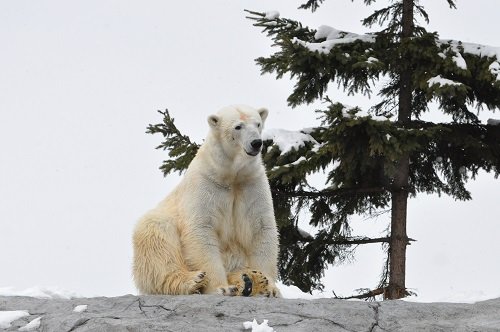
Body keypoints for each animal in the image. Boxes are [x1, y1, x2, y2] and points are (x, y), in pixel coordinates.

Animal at [133, 105, 282, 296]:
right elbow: (201, 228)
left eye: (258, 124)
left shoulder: (251, 184)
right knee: (156, 238)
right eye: (238, 126)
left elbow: (261, 228)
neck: (230, 175)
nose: (256, 142)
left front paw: (269, 287)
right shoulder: (206, 184)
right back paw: (193, 280)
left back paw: (249, 280)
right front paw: (222, 288)